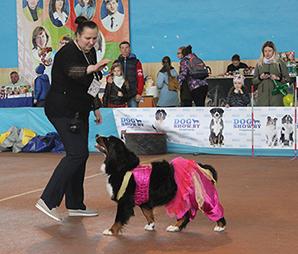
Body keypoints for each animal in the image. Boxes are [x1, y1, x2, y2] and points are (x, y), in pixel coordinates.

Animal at [95, 135, 226, 236]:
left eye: (107, 139)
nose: (96, 135)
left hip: (201, 198)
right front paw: (151, 225)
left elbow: (118, 218)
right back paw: (175, 227)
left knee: (213, 210)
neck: (122, 167)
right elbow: (148, 213)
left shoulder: (124, 201)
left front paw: (111, 230)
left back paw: (220, 226)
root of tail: (200, 166)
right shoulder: (144, 198)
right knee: (185, 215)